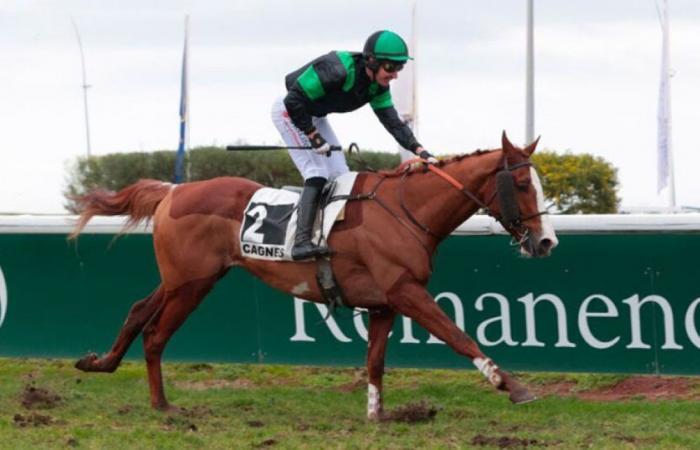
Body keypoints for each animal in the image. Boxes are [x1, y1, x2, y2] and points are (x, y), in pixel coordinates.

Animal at [69, 132, 556, 420]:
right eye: (523, 185)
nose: (547, 242)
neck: (405, 210)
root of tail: (174, 190)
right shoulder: (405, 290)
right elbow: (458, 335)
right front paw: (512, 386)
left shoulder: (383, 302)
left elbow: (375, 360)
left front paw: (377, 414)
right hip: (192, 284)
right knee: (155, 334)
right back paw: (162, 404)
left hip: (184, 279)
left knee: (138, 311)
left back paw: (100, 362)